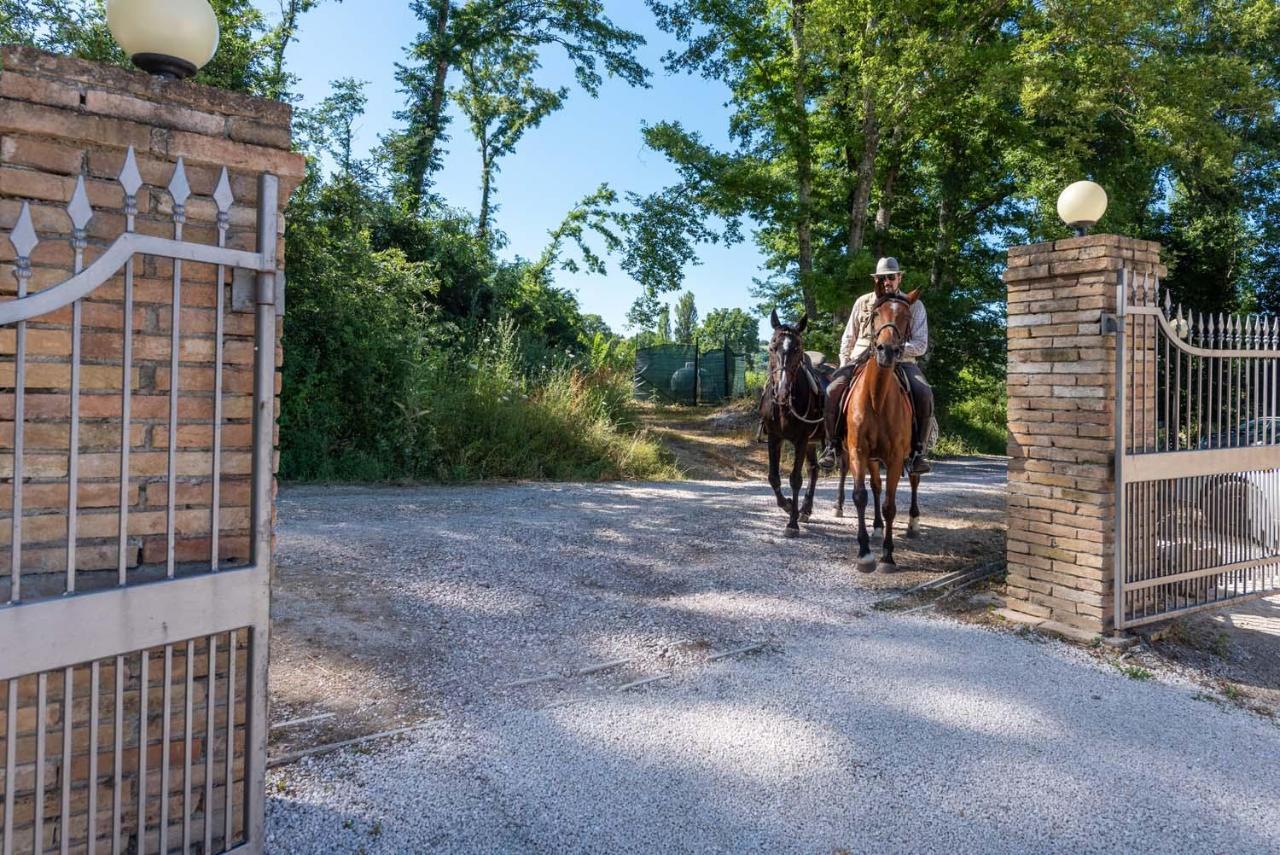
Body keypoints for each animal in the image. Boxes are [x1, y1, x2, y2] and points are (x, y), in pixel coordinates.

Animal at [762, 311, 824, 537]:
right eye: (772, 347)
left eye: (798, 348)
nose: (781, 389)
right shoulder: (774, 438)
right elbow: (773, 477)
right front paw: (789, 506)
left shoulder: (801, 440)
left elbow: (795, 479)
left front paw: (792, 524)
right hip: (812, 443)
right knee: (814, 469)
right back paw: (805, 509)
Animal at [839, 286, 921, 573]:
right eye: (875, 314)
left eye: (907, 316)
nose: (887, 351)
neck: (876, 397)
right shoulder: (858, 452)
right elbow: (861, 495)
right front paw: (865, 553)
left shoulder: (896, 458)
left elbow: (889, 505)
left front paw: (887, 555)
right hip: (873, 459)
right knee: (875, 486)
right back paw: (875, 528)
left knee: (915, 480)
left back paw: (913, 523)